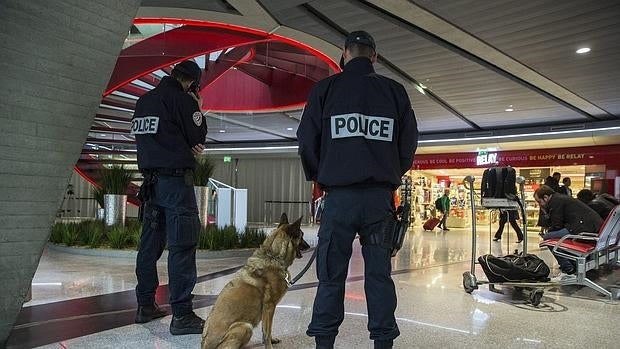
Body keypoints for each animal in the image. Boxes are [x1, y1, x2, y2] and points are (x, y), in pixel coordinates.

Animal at [201, 212, 310, 348]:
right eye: (302, 236)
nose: (309, 246)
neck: (274, 256)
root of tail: (205, 345)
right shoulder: (269, 307)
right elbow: (267, 331)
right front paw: (269, 345)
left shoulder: (267, 310)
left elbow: (266, 330)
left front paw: (271, 340)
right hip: (245, 327)